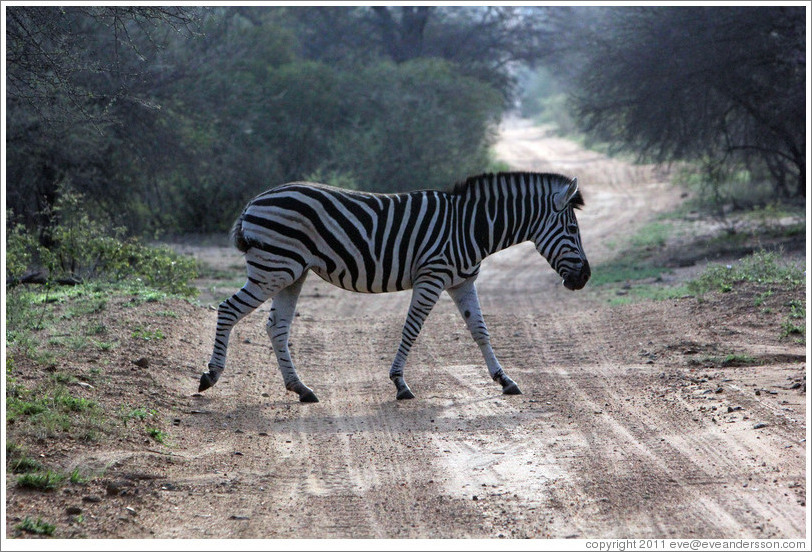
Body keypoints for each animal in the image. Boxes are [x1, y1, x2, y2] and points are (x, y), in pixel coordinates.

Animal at [199, 172, 590, 402]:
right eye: (572, 230)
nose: (584, 278)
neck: (470, 227)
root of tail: (256, 200)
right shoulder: (432, 276)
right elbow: (411, 329)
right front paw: (400, 384)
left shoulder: (463, 282)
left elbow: (480, 330)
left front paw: (504, 379)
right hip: (274, 267)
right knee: (228, 309)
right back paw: (210, 376)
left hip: (292, 272)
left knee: (276, 326)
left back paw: (302, 388)